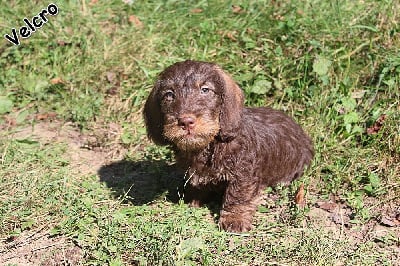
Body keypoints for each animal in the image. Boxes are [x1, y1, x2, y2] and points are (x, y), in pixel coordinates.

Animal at [142, 59, 314, 231]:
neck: (210, 144)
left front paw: (234, 218)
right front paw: (193, 199)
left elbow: (237, 195)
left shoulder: (243, 174)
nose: (186, 121)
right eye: (169, 94)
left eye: (205, 90)